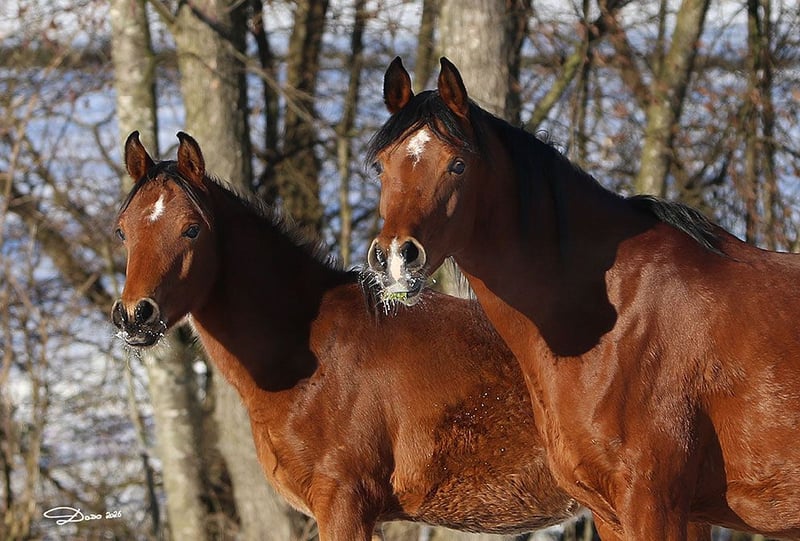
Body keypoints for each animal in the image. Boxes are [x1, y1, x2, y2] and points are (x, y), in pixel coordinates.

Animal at [365, 57, 800, 541]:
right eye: (381, 166)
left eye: (457, 165)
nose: (395, 259)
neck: (616, 317)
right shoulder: (616, 513)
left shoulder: (653, 503)